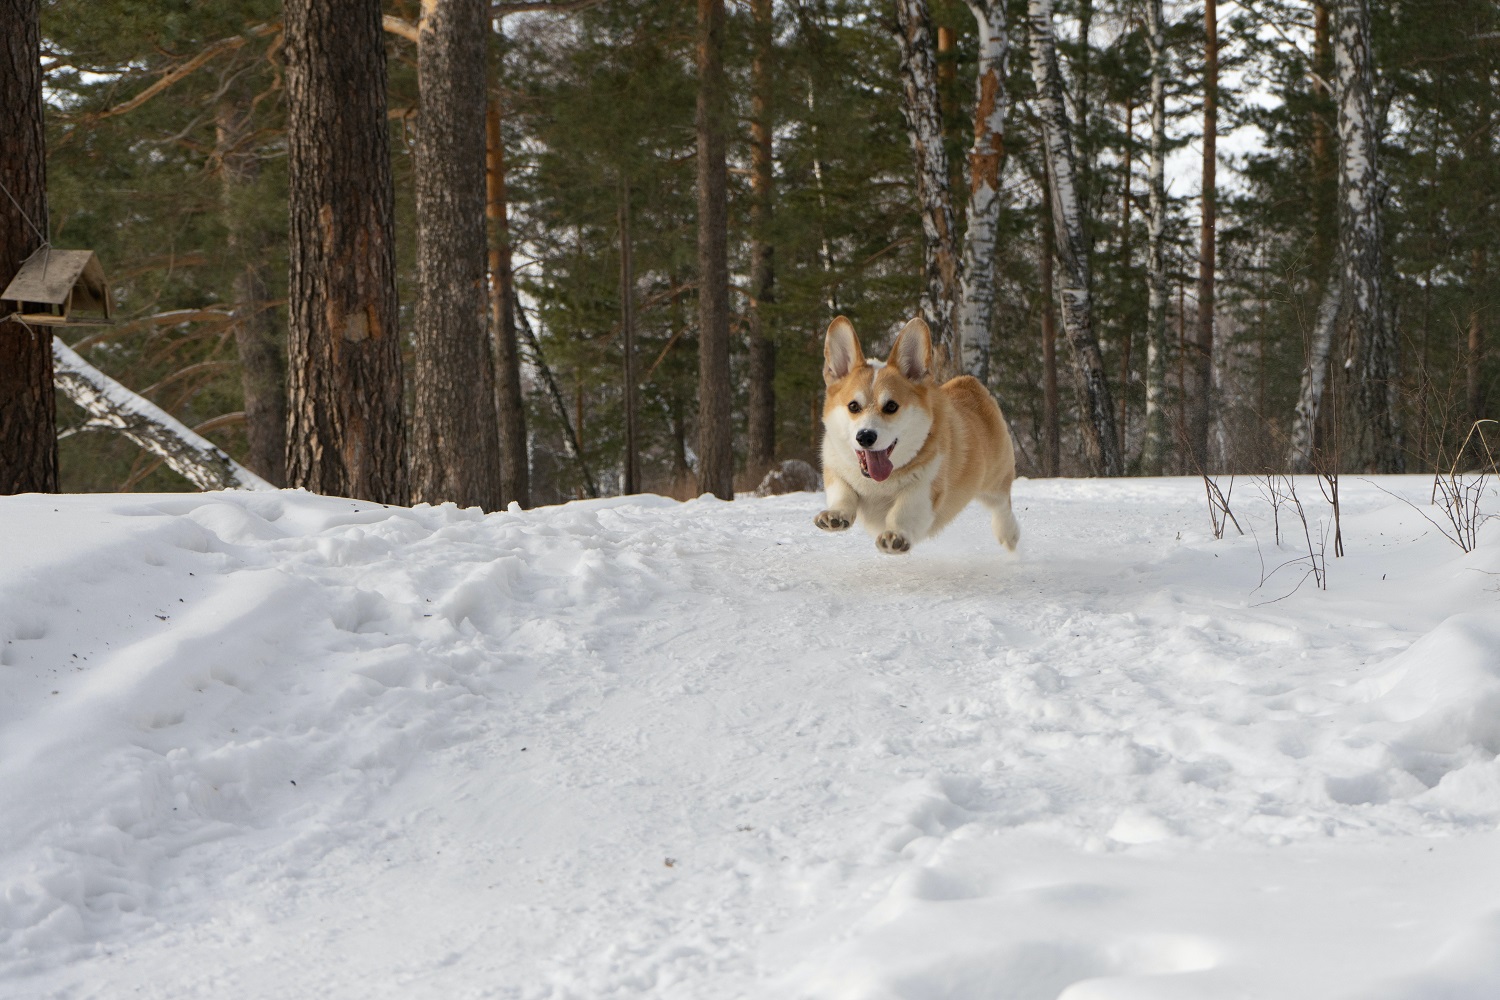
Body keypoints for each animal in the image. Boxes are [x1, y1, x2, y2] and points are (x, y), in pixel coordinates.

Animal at [822, 316, 1020, 554]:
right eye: (853, 406)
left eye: (891, 406)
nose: (866, 437)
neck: (877, 483)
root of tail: (969, 383)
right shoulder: (835, 470)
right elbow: (842, 493)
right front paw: (835, 516)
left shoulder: (924, 490)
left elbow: (903, 510)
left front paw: (895, 536)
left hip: (994, 479)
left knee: (1002, 504)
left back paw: (1008, 534)